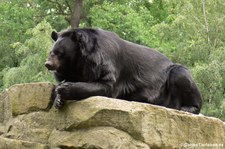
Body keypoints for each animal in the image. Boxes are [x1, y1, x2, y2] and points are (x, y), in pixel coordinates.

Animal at [44, 28, 203, 114]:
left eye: (59, 53)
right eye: (51, 52)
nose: (48, 64)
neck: (80, 62)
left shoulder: (105, 62)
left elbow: (106, 86)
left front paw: (64, 89)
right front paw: (58, 99)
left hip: (173, 77)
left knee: (182, 78)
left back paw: (187, 108)